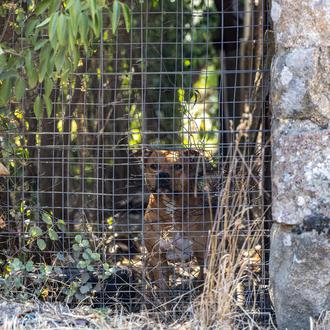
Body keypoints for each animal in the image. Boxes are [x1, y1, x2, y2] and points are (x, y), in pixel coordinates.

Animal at [142, 150, 211, 292]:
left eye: (178, 166)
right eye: (153, 166)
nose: (163, 175)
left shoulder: (202, 254)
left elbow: (203, 279)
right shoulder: (157, 257)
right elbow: (163, 289)